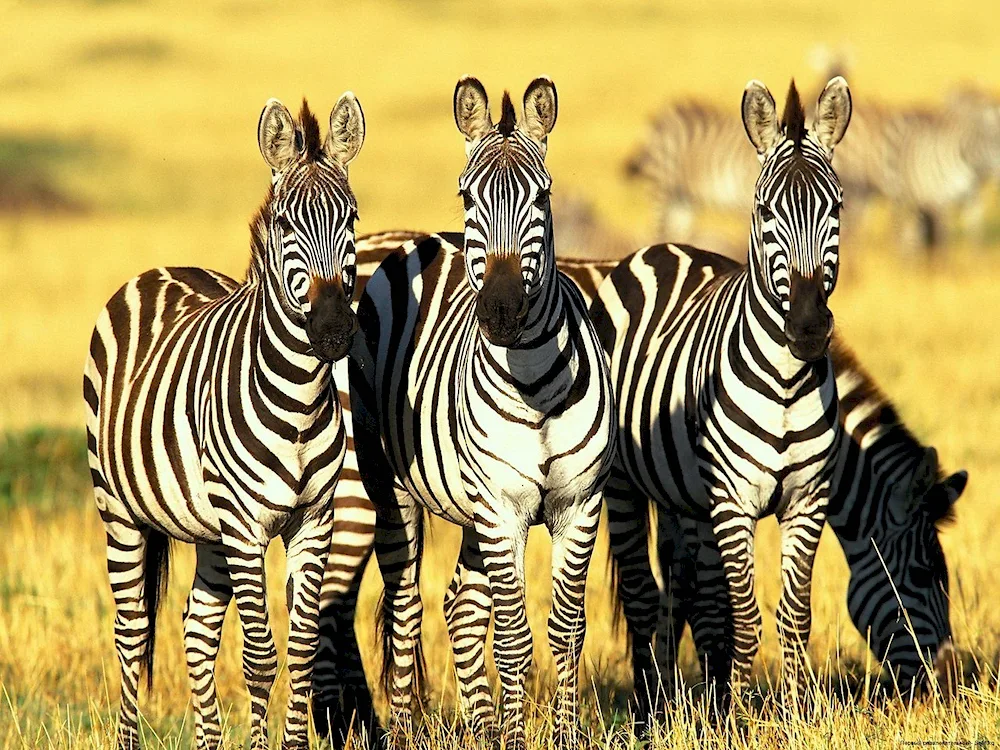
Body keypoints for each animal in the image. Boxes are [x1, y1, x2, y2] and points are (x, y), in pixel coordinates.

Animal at [84, 95, 368, 750]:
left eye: (351, 219)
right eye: (286, 226)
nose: (333, 332)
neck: (299, 402)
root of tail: (159, 270)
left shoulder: (313, 521)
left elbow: (302, 649)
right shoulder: (244, 524)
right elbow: (261, 658)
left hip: (207, 527)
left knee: (196, 627)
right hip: (119, 508)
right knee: (132, 632)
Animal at [350, 78, 616, 750]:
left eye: (542, 196)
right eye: (468, 197)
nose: (500, 311)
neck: (536, 384)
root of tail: (405, 241)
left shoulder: (578, 505)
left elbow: (567, 629)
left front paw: (562, 735)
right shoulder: (503, 509)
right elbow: (516, 638)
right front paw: (519, 739)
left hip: (472, 504)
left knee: (461, 607)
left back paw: (480, 728)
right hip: (393, 489)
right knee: (407, 609)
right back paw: (407, 730)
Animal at [588, 79, 856, 712]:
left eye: (835, 209)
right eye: (764, 211)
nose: (808, 328)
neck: (786, 381)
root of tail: (661, 247)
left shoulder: (808, 499)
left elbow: (794, 616)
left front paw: (798, 712)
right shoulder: (733, 503)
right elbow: (744, 619)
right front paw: (736, 715)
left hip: (682, 499)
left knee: (678, 591)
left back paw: (675, 702)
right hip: (623, 486)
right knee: (641, 594)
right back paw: (648, 708)